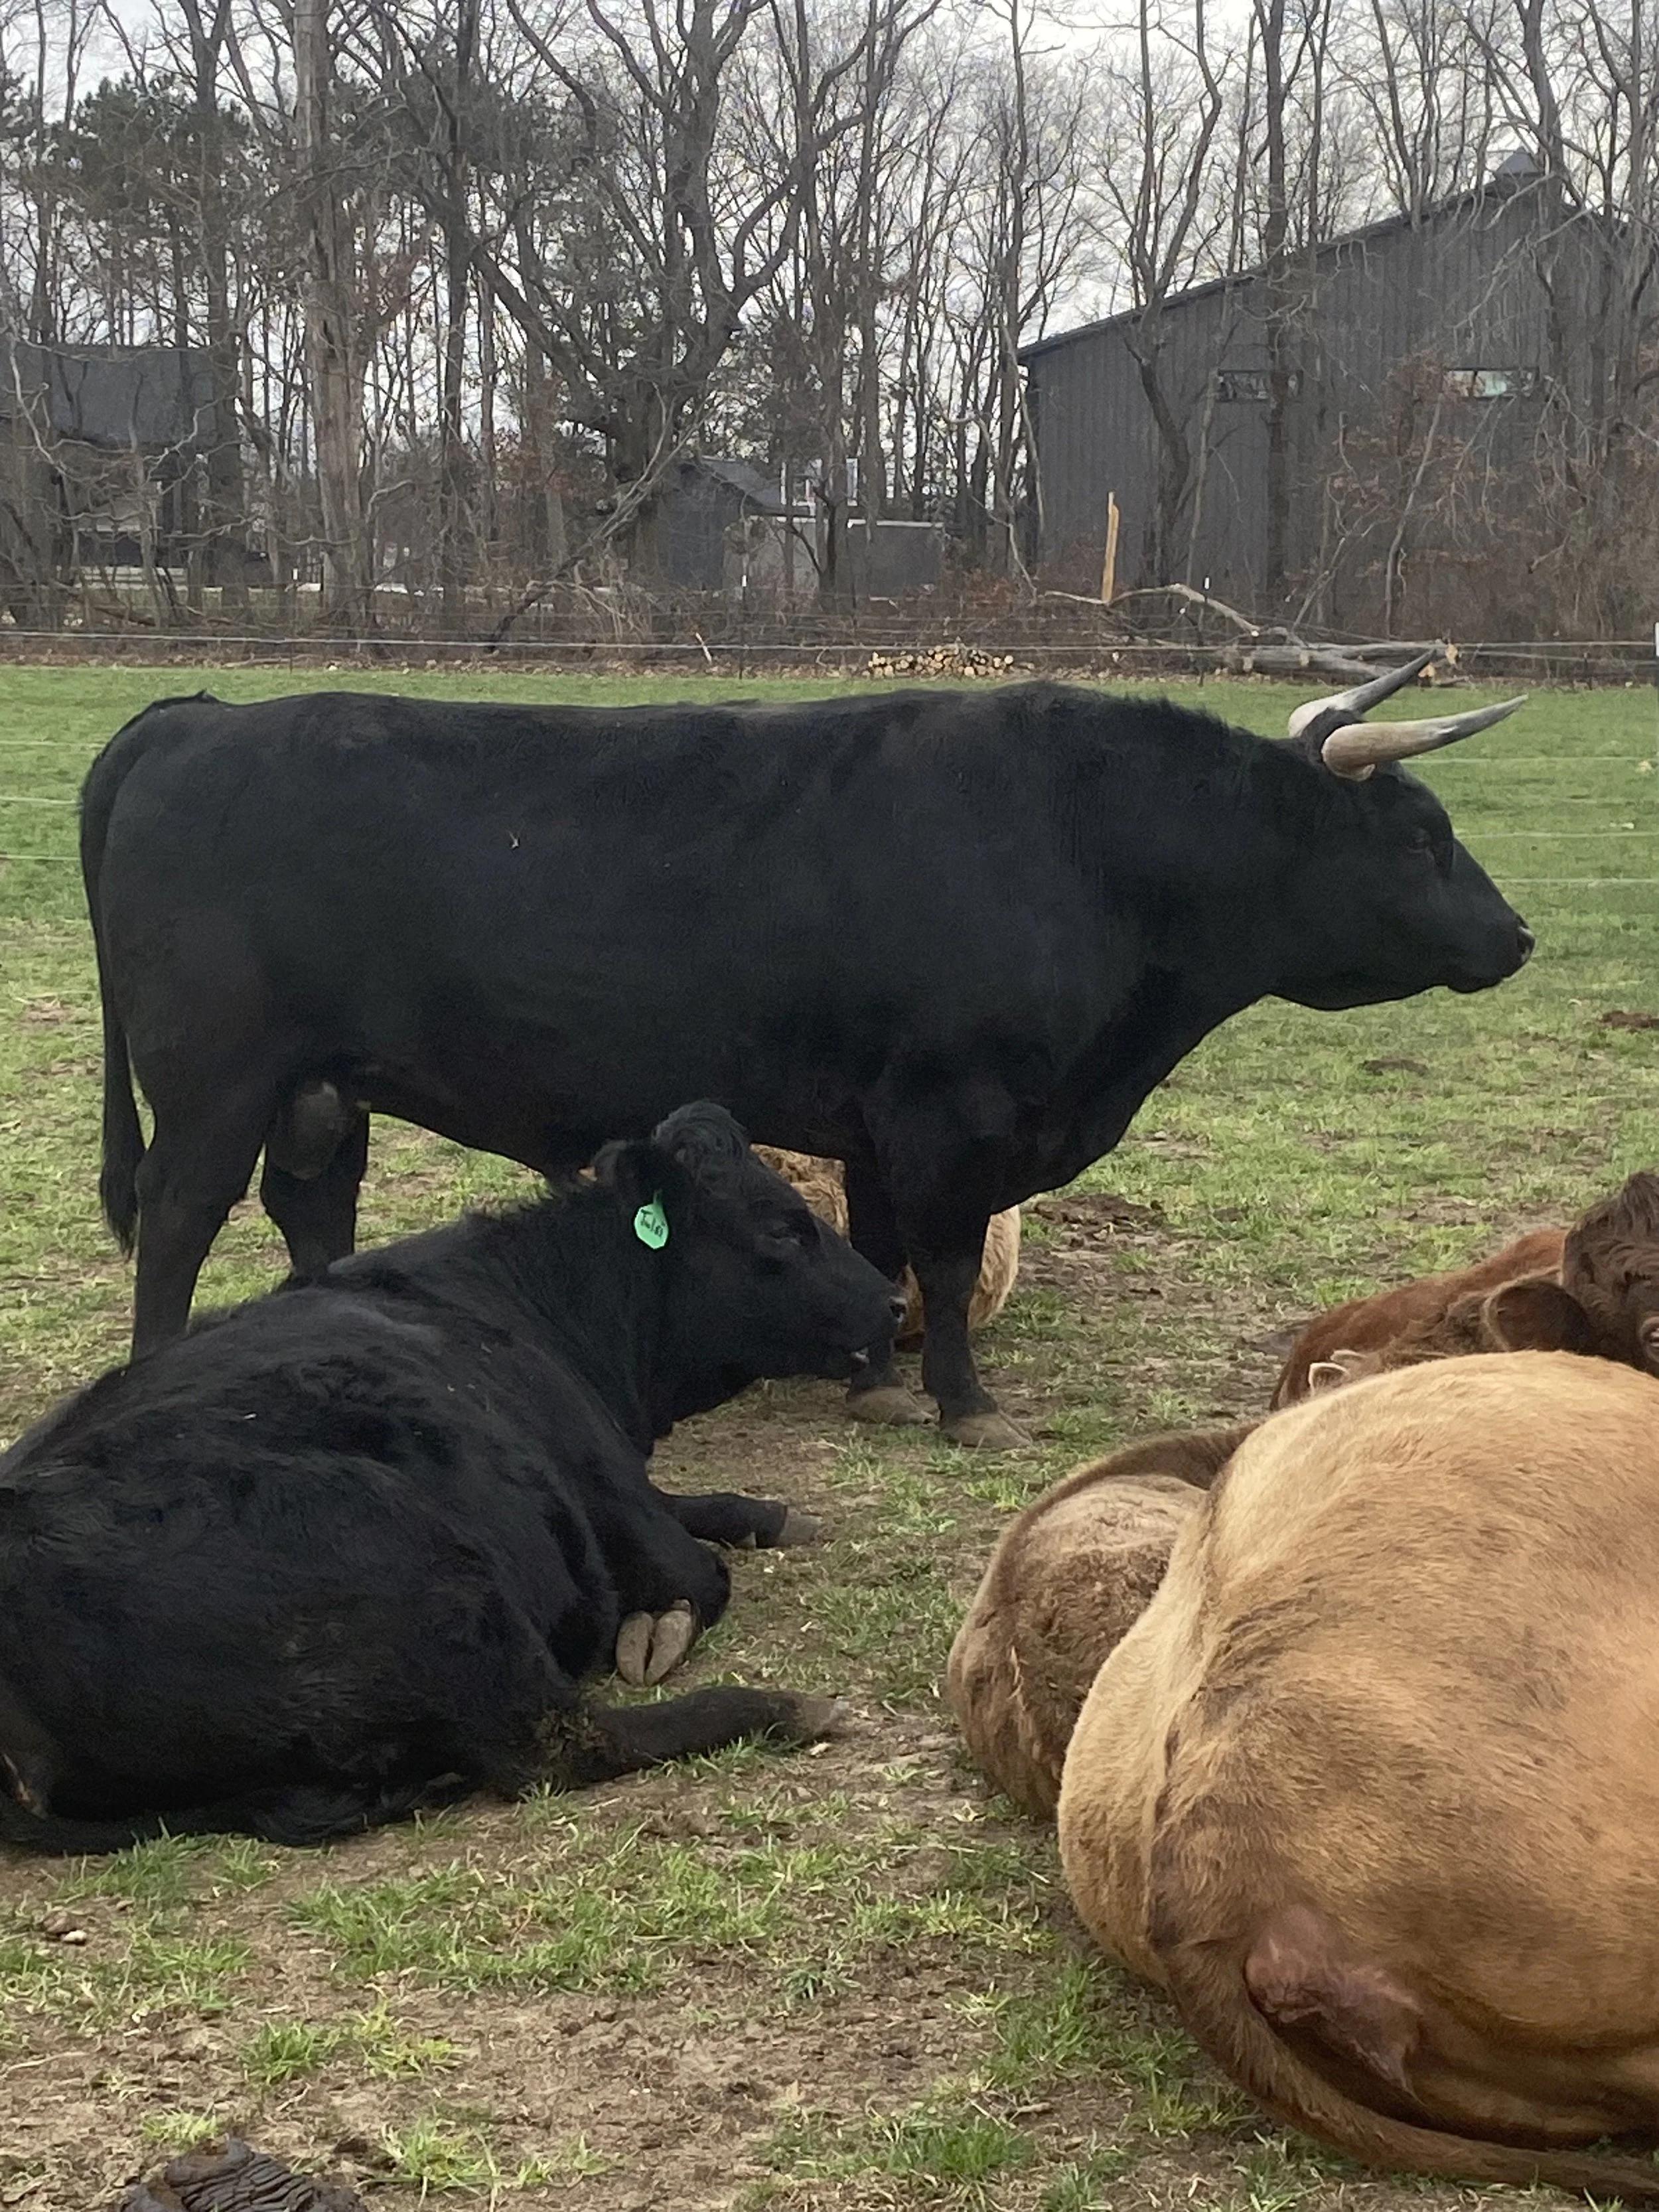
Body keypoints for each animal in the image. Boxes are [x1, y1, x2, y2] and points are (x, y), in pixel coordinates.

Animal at [0, 1102, 901, 1853]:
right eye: (782, 1229)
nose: (893, 1302)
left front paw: (766, 1515)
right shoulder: (607, 1483)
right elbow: (697, 1572)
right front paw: (665, 1620)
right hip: (437, 1586)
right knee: (560, 1747)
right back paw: (782, 1705)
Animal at [81, 652, 1531, 1446]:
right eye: (1420, 835)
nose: (1515, 935)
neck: (1090, 842)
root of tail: (197, 715)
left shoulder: (878, 1121)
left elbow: (883, 1254)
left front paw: (875, 1378)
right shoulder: (950, 1111)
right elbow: (943, 1261)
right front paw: (959, 1399)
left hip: (319, 1089)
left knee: (309, 1207)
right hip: (216, 1082)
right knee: (181, 1215)